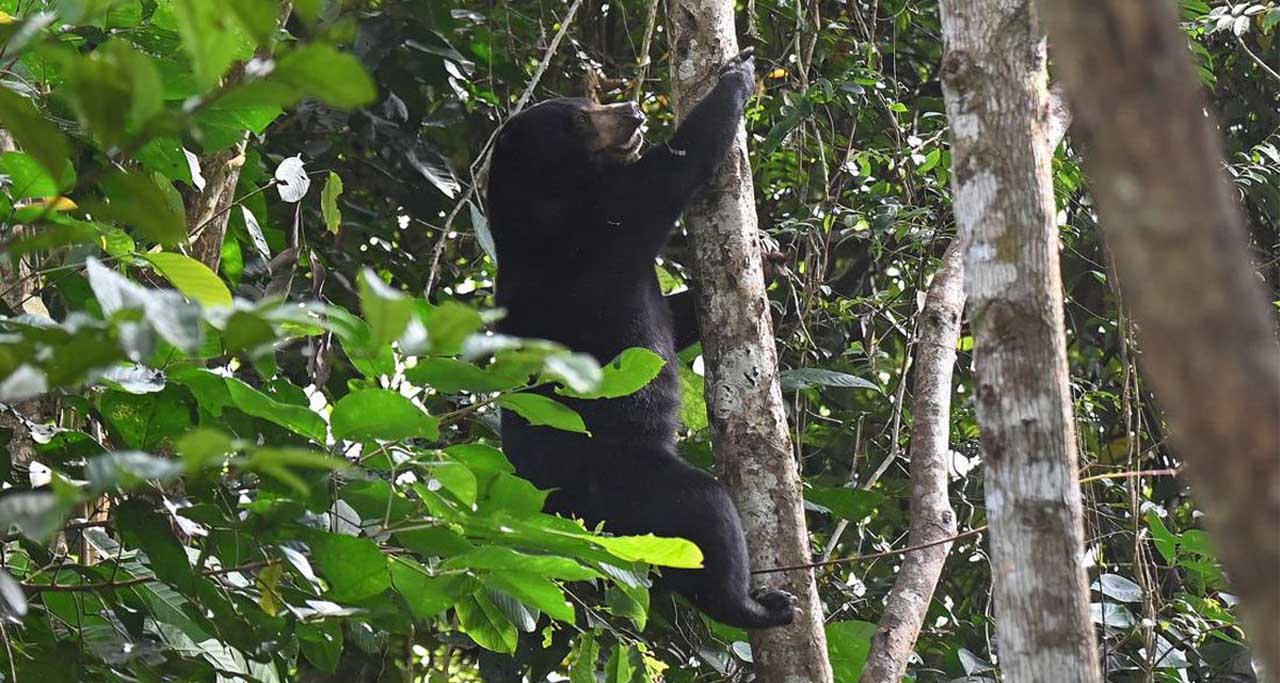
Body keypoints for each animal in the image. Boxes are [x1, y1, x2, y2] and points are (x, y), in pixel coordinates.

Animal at [483, 49, 793, 631]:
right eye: (582, 120)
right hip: (636, 484)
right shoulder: (600, 230)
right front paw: (737, 77)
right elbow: (672, 173)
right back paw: (754, 606)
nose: (631, 109)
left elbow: (674, 317)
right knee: (705, 514)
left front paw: (769, 255)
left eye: (587, 103)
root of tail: (565, 512)